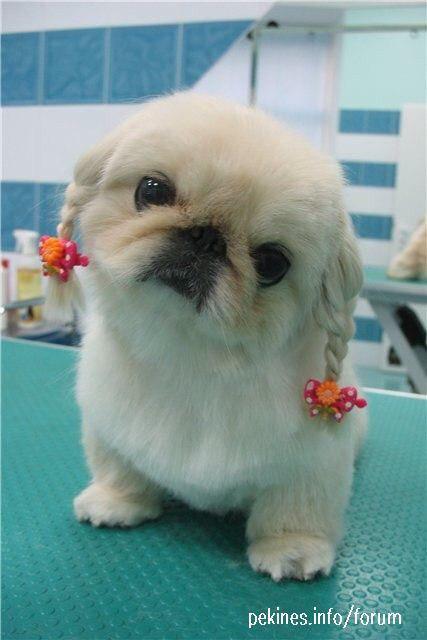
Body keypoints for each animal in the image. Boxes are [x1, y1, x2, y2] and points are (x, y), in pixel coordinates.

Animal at [55, 94, 368, 580]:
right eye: (152, 191)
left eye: (272, 263)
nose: (206, 237)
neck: (192, 355)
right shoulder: (109, 427)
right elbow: (118, 468)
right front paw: (116, 502)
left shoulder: (310, 465)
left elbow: (296, 509)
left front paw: (292, 549)